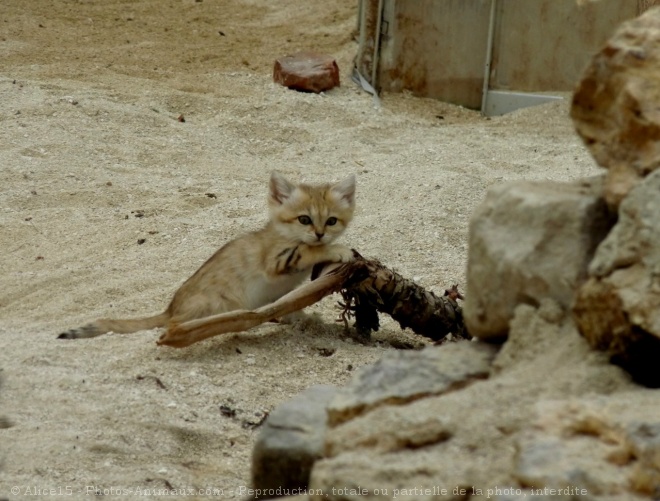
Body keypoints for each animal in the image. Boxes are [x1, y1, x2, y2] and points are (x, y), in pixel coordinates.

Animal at [58, 172, 356, 340]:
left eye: (331, 221)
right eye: (304, 219)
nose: (320, 234)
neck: (283, 232)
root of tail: (169, 310)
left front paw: (304, 319)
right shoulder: (276, 260)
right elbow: (308, 249)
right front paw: (339, 250)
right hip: (215, 303)